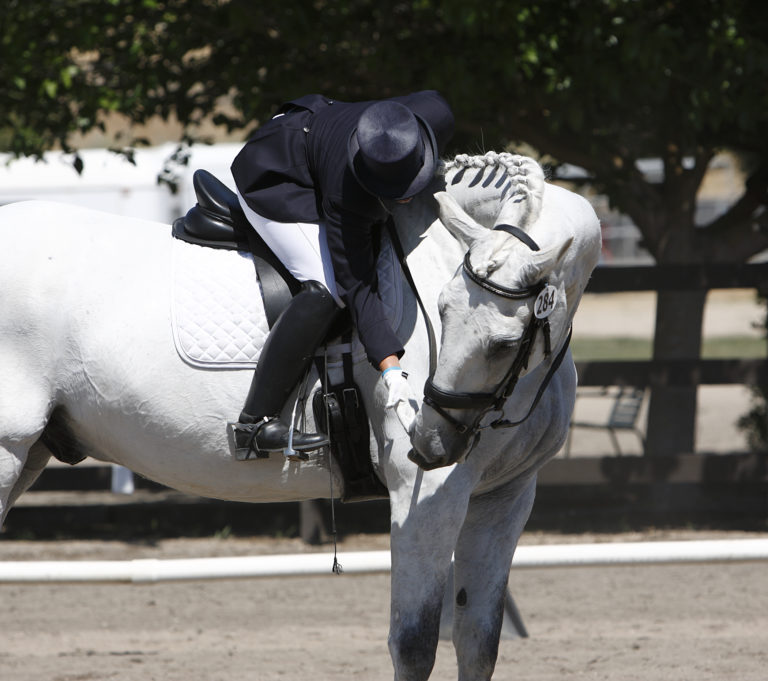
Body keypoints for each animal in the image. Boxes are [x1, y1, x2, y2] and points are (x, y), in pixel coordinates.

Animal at [0, 151, 601, 681]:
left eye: (504, 345)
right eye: (443, 312)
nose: (427, 442)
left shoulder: (505, 496)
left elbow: (478, 643)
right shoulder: (428, 493)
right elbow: (414, 645)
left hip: (30, 456)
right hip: (9, 452)